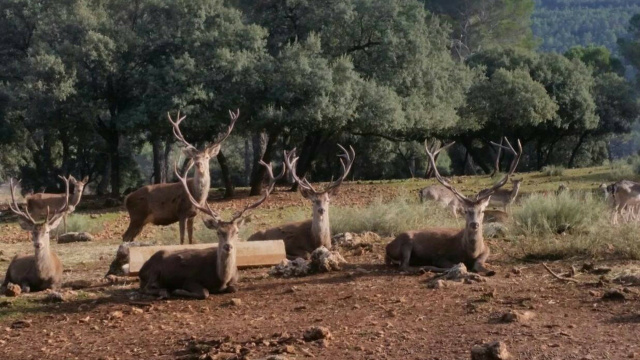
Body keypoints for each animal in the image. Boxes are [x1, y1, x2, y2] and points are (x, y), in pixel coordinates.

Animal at [121, 109, 239, 245]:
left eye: (207, 157)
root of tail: (127, 199)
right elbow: (182, 240)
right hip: (137, 216)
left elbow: (191, 239)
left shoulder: (192, 215)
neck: (197, 197)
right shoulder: (181, 213)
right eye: (195, 157)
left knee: (128, 237)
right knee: (125, 236)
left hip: (141, 221)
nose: (198, 163)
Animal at [139, 159, 284, 300]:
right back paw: (164, 291)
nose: (228, 246)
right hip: (154, 270)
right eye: (218, 232)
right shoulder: (190, 279)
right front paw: (178, 290)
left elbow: (233, 288)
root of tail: (141, 270)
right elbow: (205, 292)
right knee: (146, 287)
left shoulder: (235, 280)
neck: (222, 279)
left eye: (236, 232)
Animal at [384, 137, 520, 272]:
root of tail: (387, 247)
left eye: (481, 210)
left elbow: (479, 264)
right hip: (406, 242)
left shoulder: (487, 251)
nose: (474, 224)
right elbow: (453, 264)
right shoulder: (441, 257)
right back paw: (424, 268)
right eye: (466, 211)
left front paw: (490, 271)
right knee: (404, 266)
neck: (471, 252)